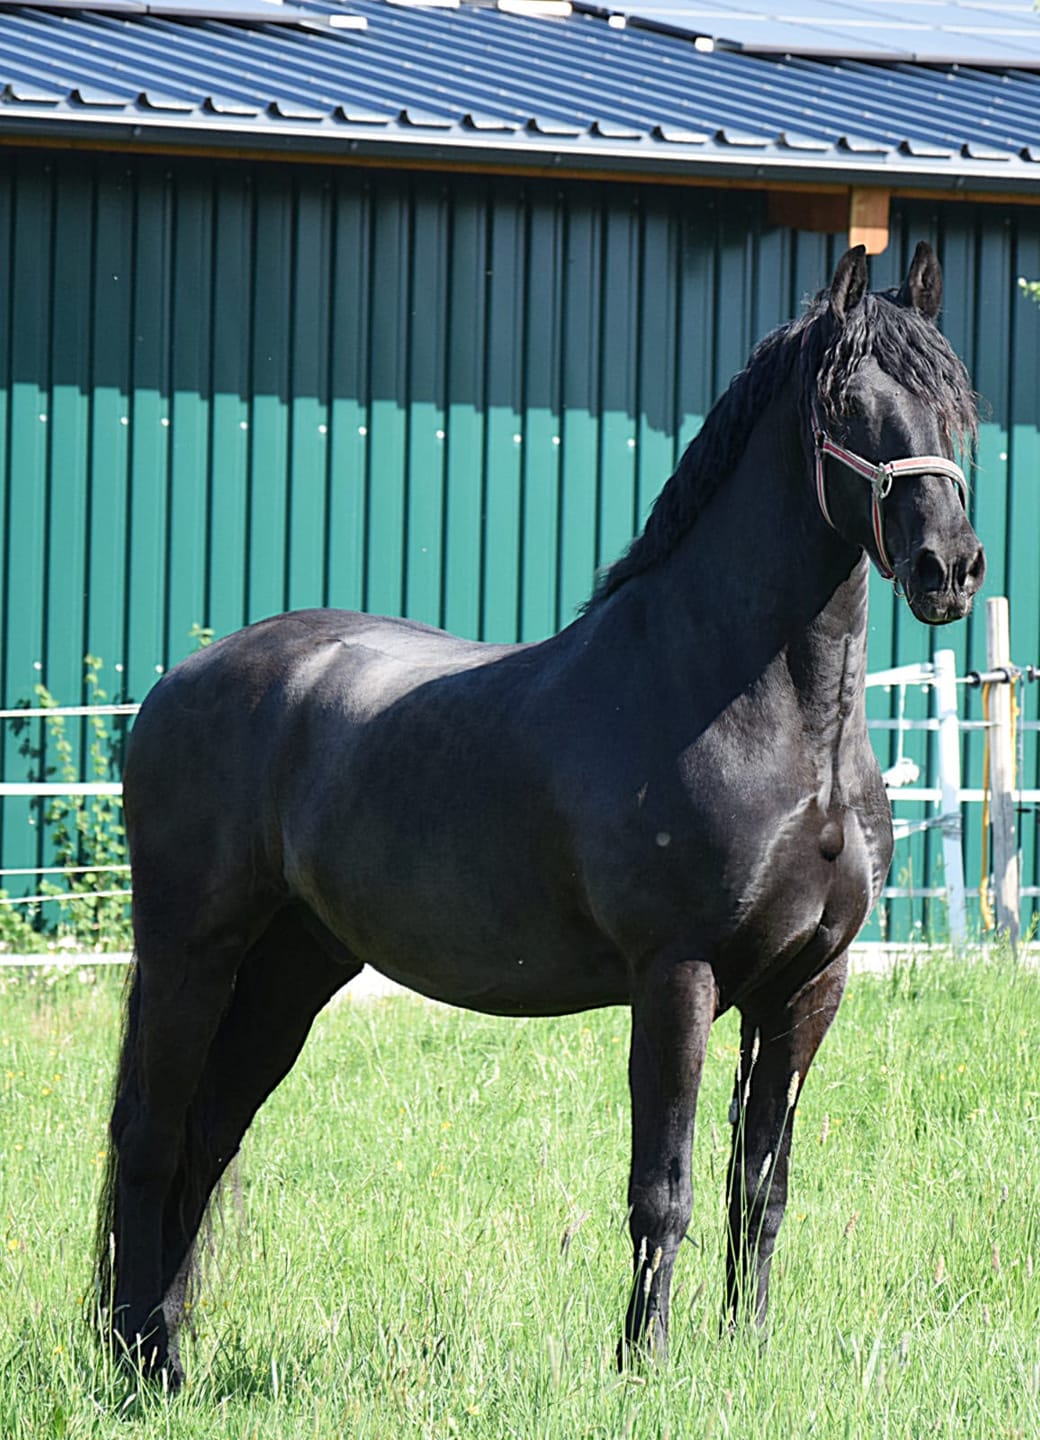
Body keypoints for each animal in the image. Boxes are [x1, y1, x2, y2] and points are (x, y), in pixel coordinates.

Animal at [95, 241, 984, 1387]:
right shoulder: (677, 977)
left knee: (208, 1135)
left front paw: (745, 1355)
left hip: (292, 965)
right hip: (191, 950)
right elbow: (663, 1187)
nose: (948, 568)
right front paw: (643, 1365)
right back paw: (140, 1367)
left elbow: (759, 1191)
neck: (763, 713)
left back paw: (163, 1350)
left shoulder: (805, 988)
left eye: (952, 403)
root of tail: (178, 683)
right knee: (151, 1137)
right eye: (846, 404)